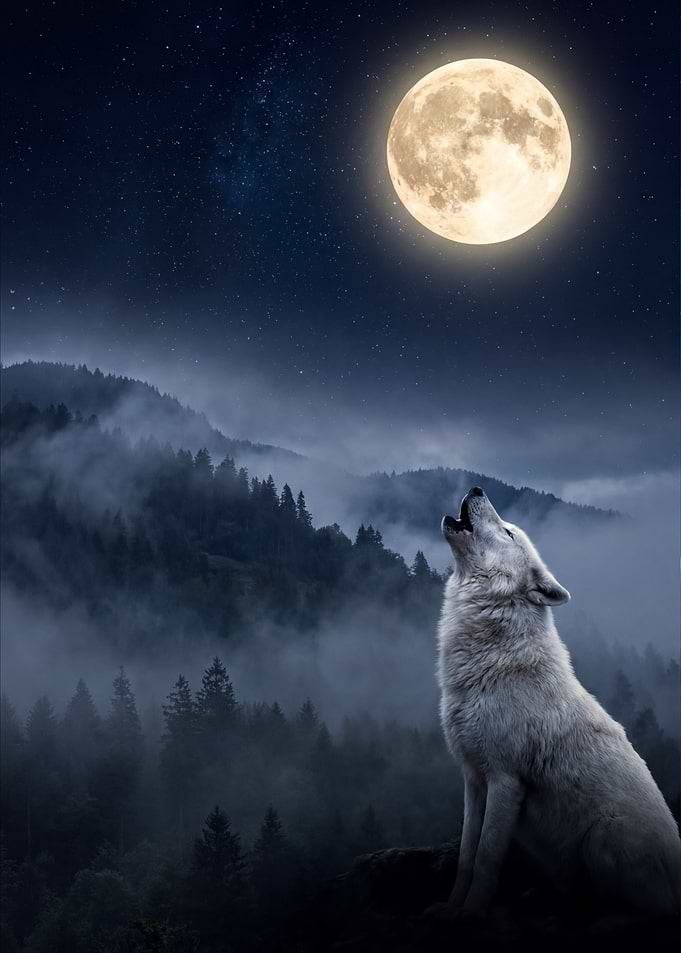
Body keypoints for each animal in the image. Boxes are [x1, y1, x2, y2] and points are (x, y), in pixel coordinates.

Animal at [438, 486, 680, 918]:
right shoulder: (473, 778)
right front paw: (450, 908)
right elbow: (467, 855)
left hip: (603, 837)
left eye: (508, 532)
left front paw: (471, 913)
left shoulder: (505, 779)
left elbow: (485, 860)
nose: (477, 489)